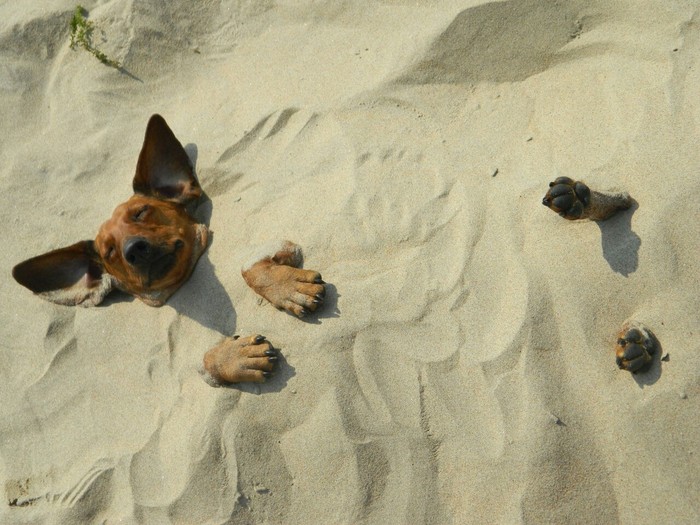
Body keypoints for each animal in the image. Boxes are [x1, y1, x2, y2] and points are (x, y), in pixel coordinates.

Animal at [13, 114, 326, 384]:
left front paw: (287, 286)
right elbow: (206, 362)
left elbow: (249, 267)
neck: (185, 279)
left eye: (141, 212)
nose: (133, 249)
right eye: (110, 252)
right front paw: (236, 359)